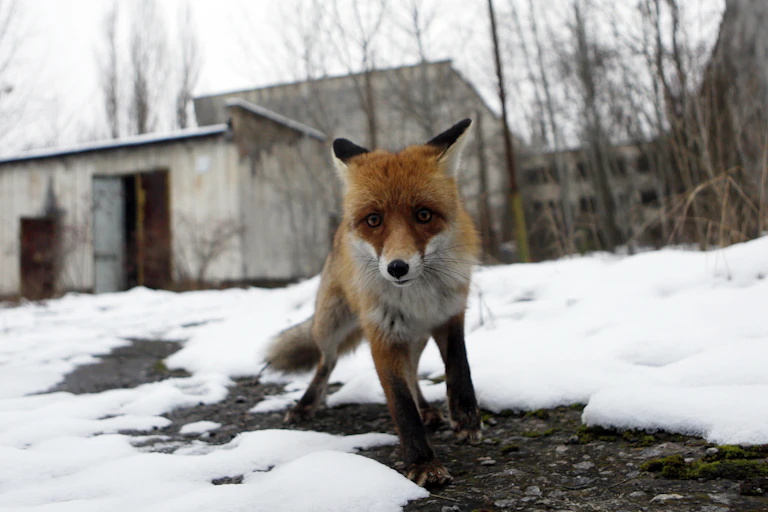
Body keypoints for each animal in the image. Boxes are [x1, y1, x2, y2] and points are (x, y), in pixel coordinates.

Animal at [264, 119, 482, 487]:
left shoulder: (450, 312)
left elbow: (458, 365)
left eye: (424, 215)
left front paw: (466, 417)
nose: (397, 268)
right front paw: (422, 462)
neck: (418, 298)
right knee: (326, 363)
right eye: (374, 220)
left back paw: (429, 410)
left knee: (413, 374)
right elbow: (401, 404)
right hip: (329, 326)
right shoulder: (381, 334)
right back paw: (305, 405)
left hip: (415, 339)